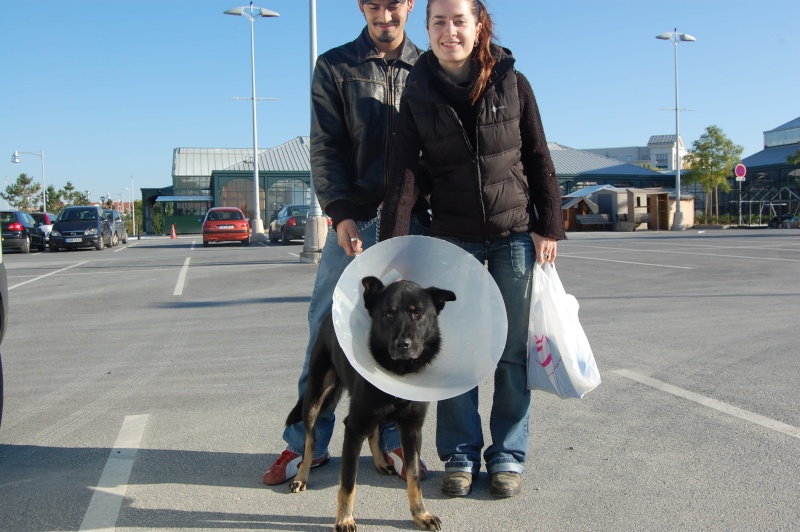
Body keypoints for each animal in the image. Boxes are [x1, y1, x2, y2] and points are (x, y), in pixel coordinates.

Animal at [286, 276, 456, 528]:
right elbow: (348, 482)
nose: (403, 344)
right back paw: (301, 476)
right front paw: (345, 519)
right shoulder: (354, 428)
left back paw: (380, 462)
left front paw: (420, 514)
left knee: (374, 431)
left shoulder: (412, 428)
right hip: (314, 398)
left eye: (417, 313)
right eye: (388, 314)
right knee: (309, 440)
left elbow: (414, 477)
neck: (398, 371)